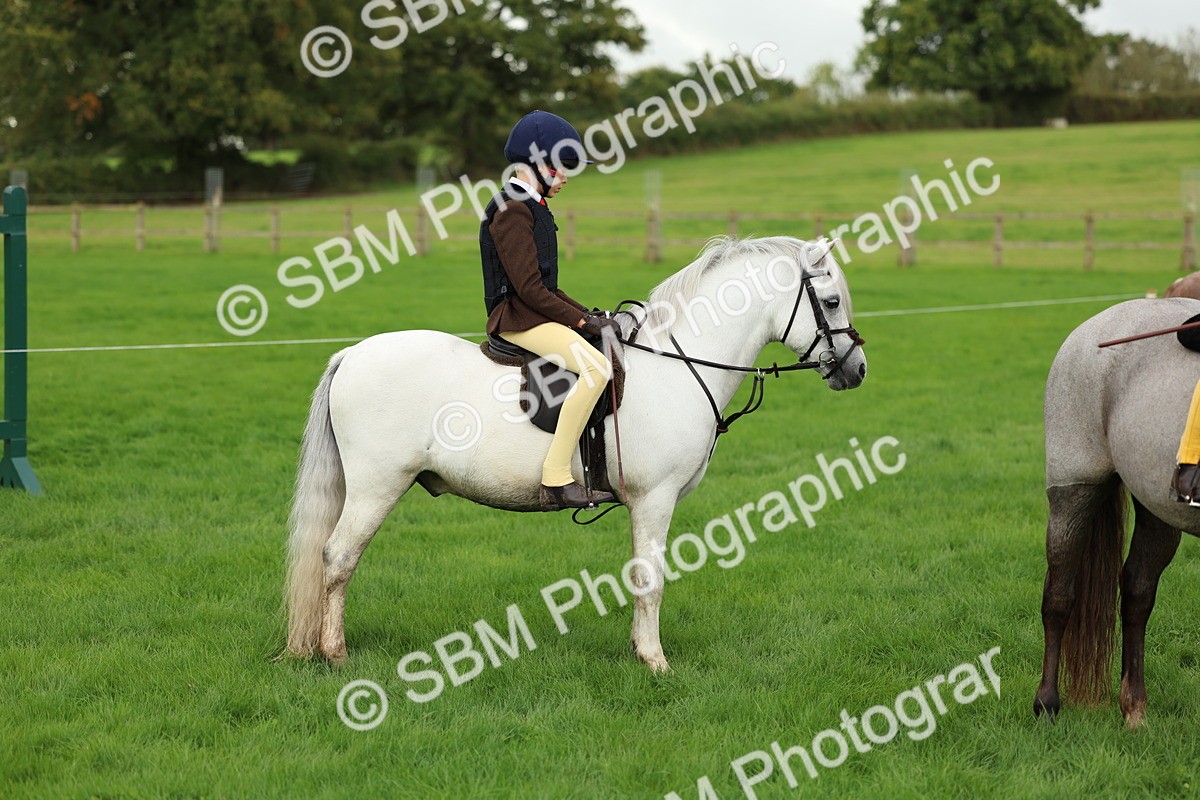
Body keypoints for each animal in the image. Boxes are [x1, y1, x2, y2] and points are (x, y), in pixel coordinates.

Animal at [283, 235, 867, 671]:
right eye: (832, 302)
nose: (855, 370)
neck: (677, 364)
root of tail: (352, 354)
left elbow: (638, 576)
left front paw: (638, 650)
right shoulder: (655, 499)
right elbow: (650, 579)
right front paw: (654, 661)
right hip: (375, 486)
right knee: (338, 557)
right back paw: (334, 654)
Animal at [1034, 297, 1200, 728]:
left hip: (1156, 505)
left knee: (1137, 593)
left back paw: (1134, 709)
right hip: (1074, 489)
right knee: (1059, 595)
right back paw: (1046, 703)